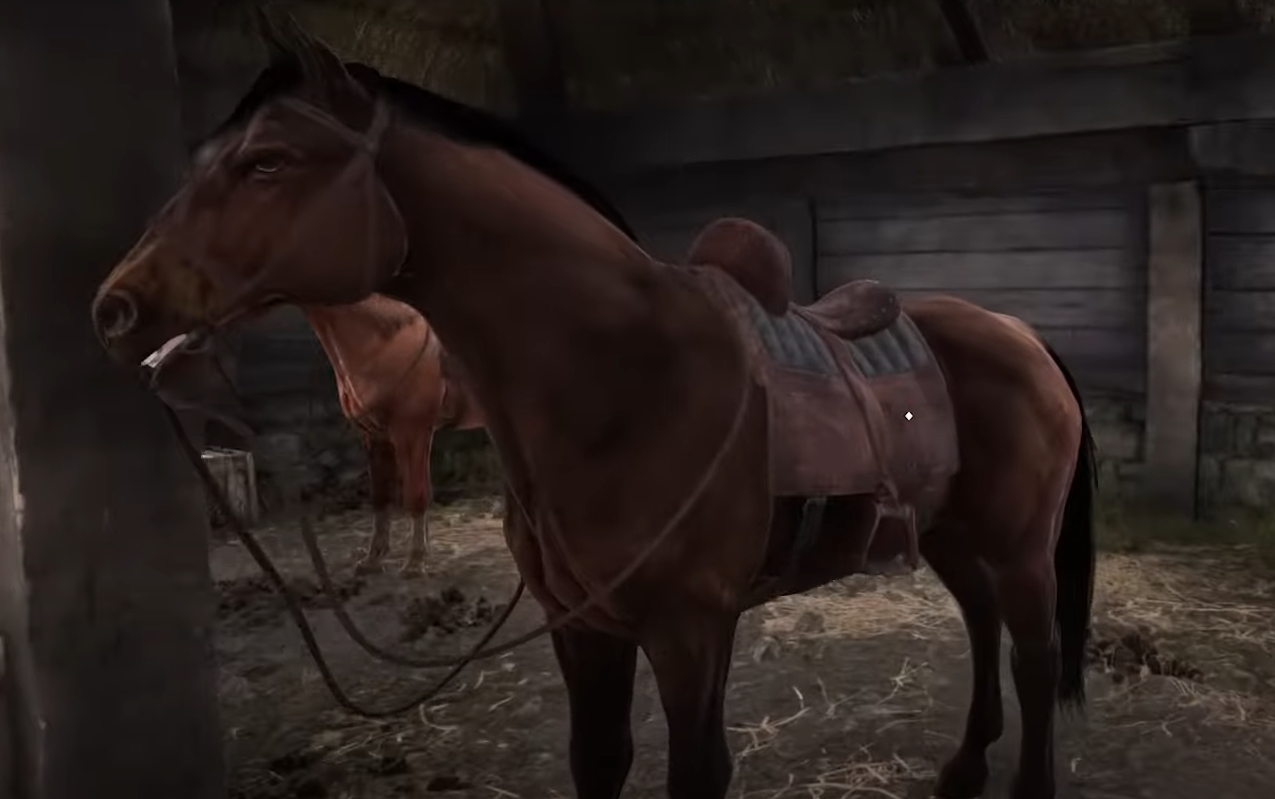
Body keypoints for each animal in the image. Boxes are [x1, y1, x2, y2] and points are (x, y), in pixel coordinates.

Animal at [301, 294, 484, 575]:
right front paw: (373, 560)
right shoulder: (375, 437)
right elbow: (381, 496)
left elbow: (416, 493)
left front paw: (416, 562)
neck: (383, 343)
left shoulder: (412, 433)